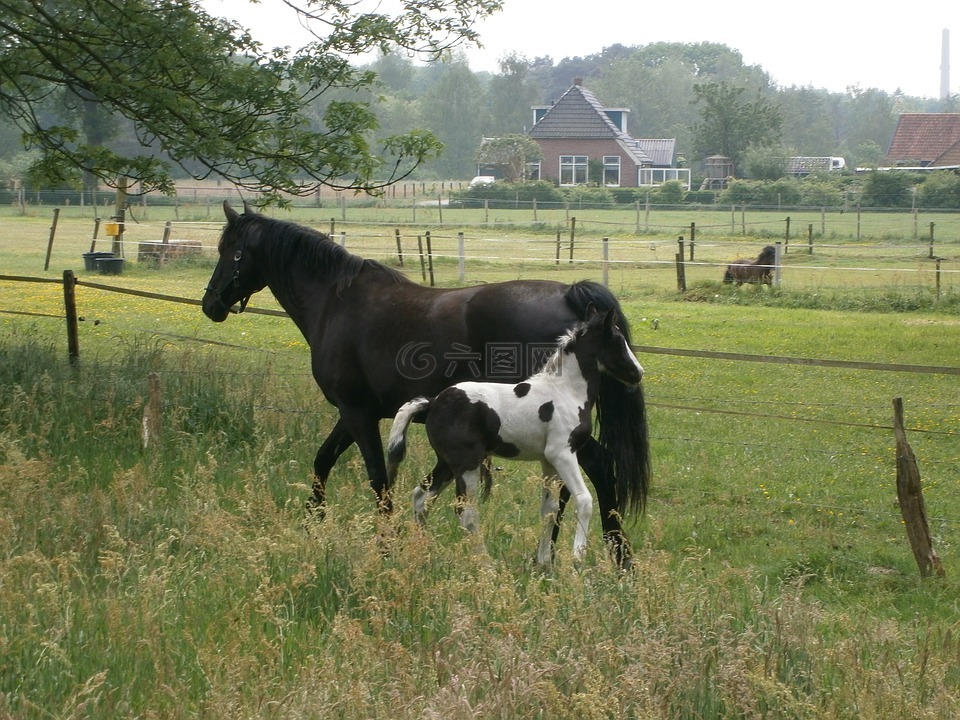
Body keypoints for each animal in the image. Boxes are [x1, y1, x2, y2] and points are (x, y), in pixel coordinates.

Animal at [388, 306, 644, 564]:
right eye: (618, 341)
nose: (638, 373)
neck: (565, 392)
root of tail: (433, 402)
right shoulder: (562, 453)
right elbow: (583, 500)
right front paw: (577, 557)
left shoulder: (548, 461)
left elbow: (549, 510)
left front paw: (544, 564)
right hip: (467, 463)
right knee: (465, 511)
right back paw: (486, 564)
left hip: (447, 463)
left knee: (422, 497)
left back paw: (419, 554)